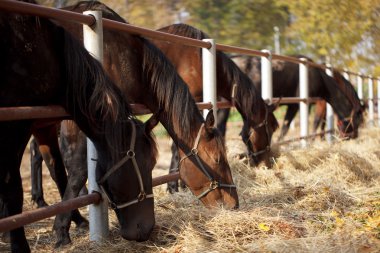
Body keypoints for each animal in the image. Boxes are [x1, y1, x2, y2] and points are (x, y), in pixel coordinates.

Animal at [232, 54, 362, 140]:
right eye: (357, 121)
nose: (354, 136)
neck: (317, 76)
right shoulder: (305, 104)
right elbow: (314, 122)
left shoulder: (295, 105)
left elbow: (285, 128)